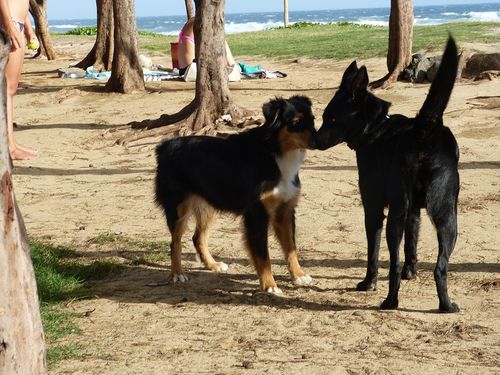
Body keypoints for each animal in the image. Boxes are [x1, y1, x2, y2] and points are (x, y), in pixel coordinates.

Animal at [154, 96, 314, 294]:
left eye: (313, 119)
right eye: (295, 122)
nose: (319, 140)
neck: (274, 152)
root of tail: (165, 145)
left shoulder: (285, 210)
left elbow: (291, 248)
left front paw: (298, 275)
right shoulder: (257, 215)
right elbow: (263, 256)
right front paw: (269, 285)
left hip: (208, 206)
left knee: (197, 237)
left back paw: (212, 265)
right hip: (178, 209)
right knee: (175, 242)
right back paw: (177, 274)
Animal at [316, 39, 460, 314]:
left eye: (331, 118)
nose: (313, 141)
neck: (376, 129)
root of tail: (424, 129)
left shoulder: (373, 209)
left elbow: (373, 252)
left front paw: (368, 283)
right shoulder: (414, 212)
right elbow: (412, 244)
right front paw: (411, 272)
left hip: (396, 214)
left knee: (393, 262)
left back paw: (390, 301)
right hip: (447, 214)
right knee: (440, 266)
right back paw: (446, 305)